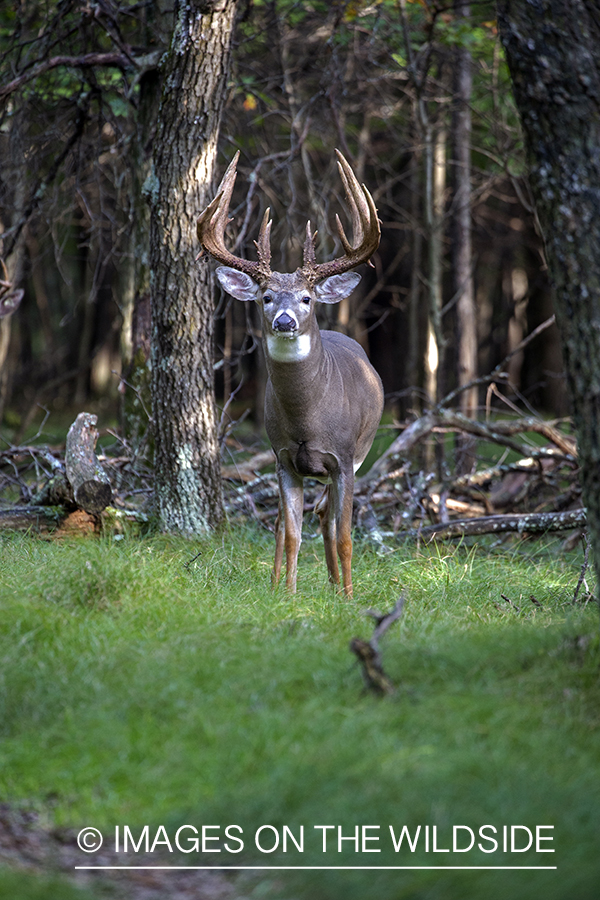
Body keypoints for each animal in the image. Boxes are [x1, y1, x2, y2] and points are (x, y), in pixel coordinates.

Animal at [197, 150, 384, 596]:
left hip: (361, 453)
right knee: (290, 523)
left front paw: (349, 596)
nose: (284, 321)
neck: (307, 418)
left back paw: (335, 585)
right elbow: (293, 533)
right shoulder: (283, 457)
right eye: (265, 297)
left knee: (327, 518)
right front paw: (288, 593)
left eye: (306, 298)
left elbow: (346, 535)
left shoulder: (344, 456)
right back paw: (283, 581)